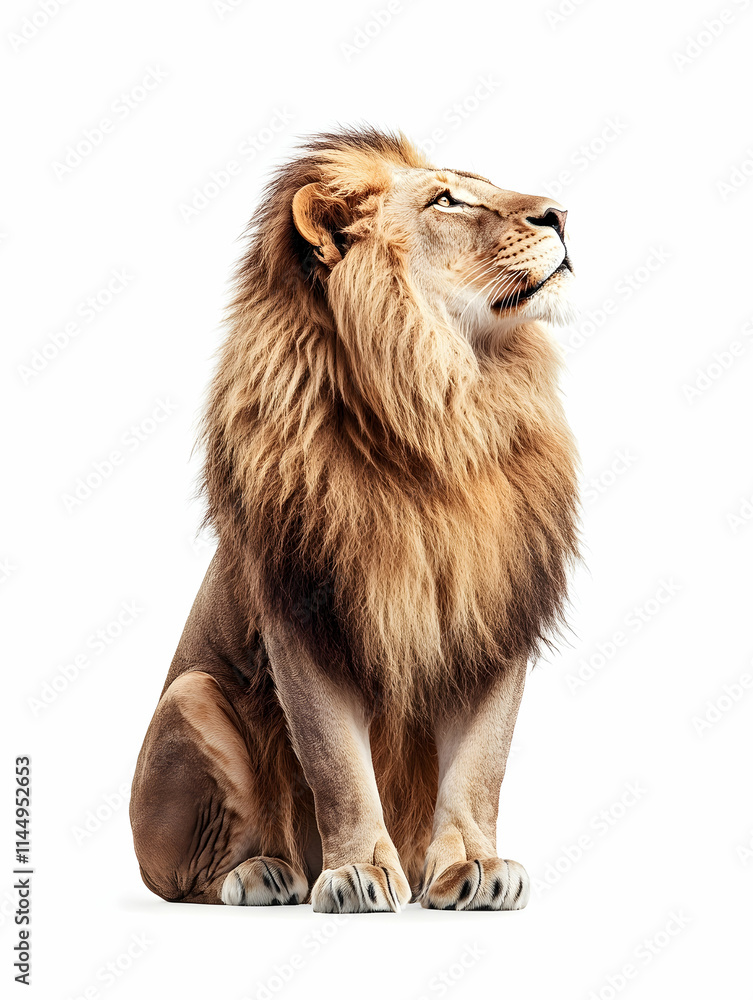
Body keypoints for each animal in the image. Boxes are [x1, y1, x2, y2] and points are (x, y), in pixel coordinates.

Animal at [129, 127, 579, 912]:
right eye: (447, 201)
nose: (560, 214)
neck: (446, 413)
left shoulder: (497, 610)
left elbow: (480, 765)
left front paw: (475, 867)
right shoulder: (303, 617)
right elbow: (337, 764)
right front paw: (358, 871)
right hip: (192, 700)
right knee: (189, 881)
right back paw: (267, 873)